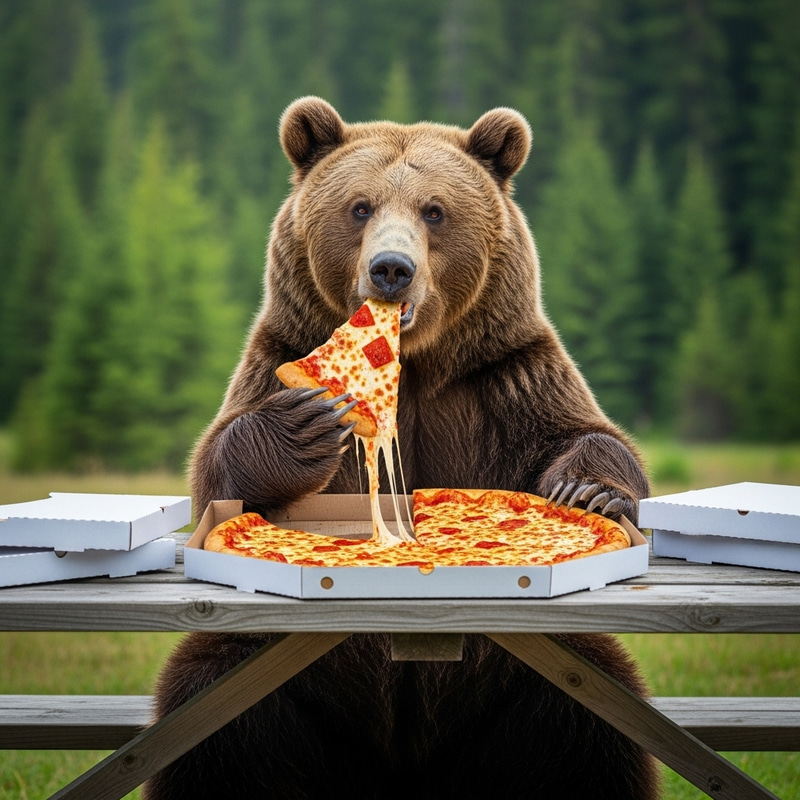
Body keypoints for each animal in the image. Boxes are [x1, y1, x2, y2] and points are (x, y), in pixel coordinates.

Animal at [144, 97, 660, 799]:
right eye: (359, 207)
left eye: (434, 210)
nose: (391, 268)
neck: (414, 368)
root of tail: (402, 769)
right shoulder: (281, 347)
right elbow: (218, 471)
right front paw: (306, 424)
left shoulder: (504, 378)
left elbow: (584, 432)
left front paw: (587, 489)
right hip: (285, 686)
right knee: (220, 720)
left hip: (518, 685)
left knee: (584, 729)